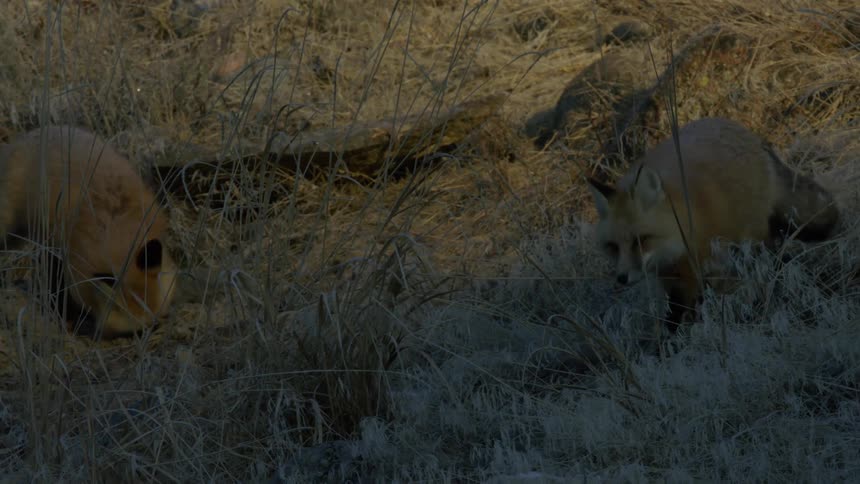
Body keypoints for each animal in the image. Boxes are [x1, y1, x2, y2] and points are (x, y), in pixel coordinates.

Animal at [0, 125, 177, 339]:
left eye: (155, 325)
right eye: (132, 334)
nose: (149, 335)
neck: (117, 231)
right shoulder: (62, 250)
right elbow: (57, 286)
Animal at [587, 117, 839, 329]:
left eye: (640, 240)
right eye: (613, 247)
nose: (621, 278)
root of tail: (738, 127)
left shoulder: (715, 267)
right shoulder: (673, 281)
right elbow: (674, 317)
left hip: (752, 240)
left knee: (769, 258)